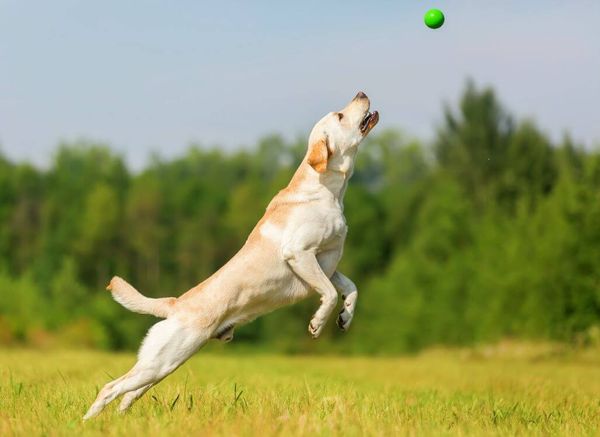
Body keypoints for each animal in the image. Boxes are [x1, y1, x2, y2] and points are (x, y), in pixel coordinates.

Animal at [82, 90, 378, 418]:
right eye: (340, 115)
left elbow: (351, 287)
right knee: (110, 388)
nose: (361, 93)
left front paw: (345, 317)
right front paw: (317, 323)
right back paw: (88, 422)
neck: (328, 191)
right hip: (161, 361)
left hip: (161, 365)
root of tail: (175, 304)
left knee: (128, 394)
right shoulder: (299, 254)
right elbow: (328, 292)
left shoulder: (327, 262)